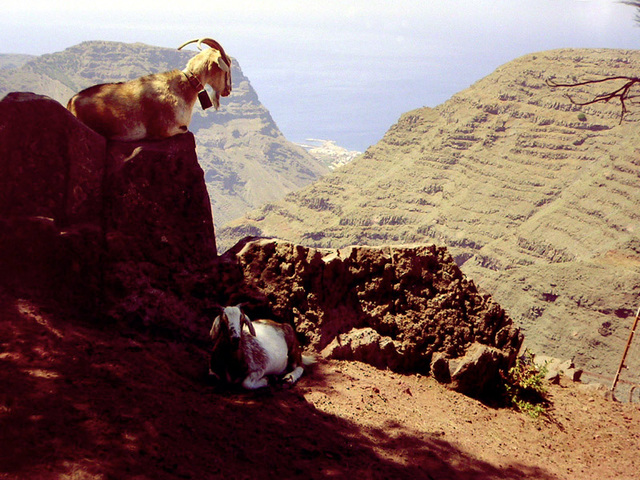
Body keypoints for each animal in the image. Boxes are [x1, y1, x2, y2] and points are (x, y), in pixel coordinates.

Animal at [65, 38, 234, 140]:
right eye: (226, 67)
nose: (228, 90)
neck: (184, 88)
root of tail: (71, 102)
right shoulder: (165, 129)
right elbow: (184, 129)